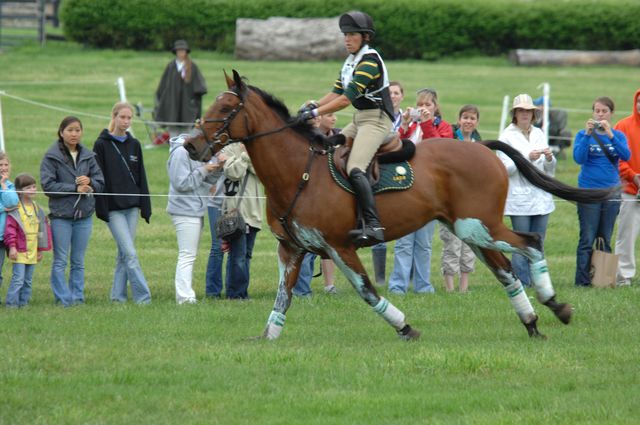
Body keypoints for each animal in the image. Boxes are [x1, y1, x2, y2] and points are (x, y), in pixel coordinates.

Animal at [184, 70, 608, 342]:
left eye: (225, 109)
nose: (189, 144)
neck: (297, 171)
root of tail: (481, 147)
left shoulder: (339, 246)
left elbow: (368, 291)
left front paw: (405, 327)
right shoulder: (292, 249)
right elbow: (283, 298)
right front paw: (268, 337)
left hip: (479, 226)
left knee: (531, 243)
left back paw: (555, 306)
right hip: (470, 230)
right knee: (507, 272)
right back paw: (533, 322)